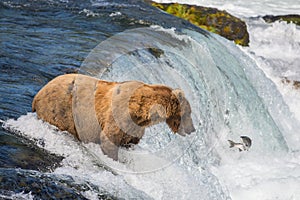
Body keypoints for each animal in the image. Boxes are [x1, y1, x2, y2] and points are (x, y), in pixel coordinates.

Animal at [31, 73, 196, 159]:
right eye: (189, 113)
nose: (192, 129)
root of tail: (38, 94)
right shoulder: (120, 116)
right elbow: (109, 139)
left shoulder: (134, 128)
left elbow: (130, 142)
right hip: (59, 111)